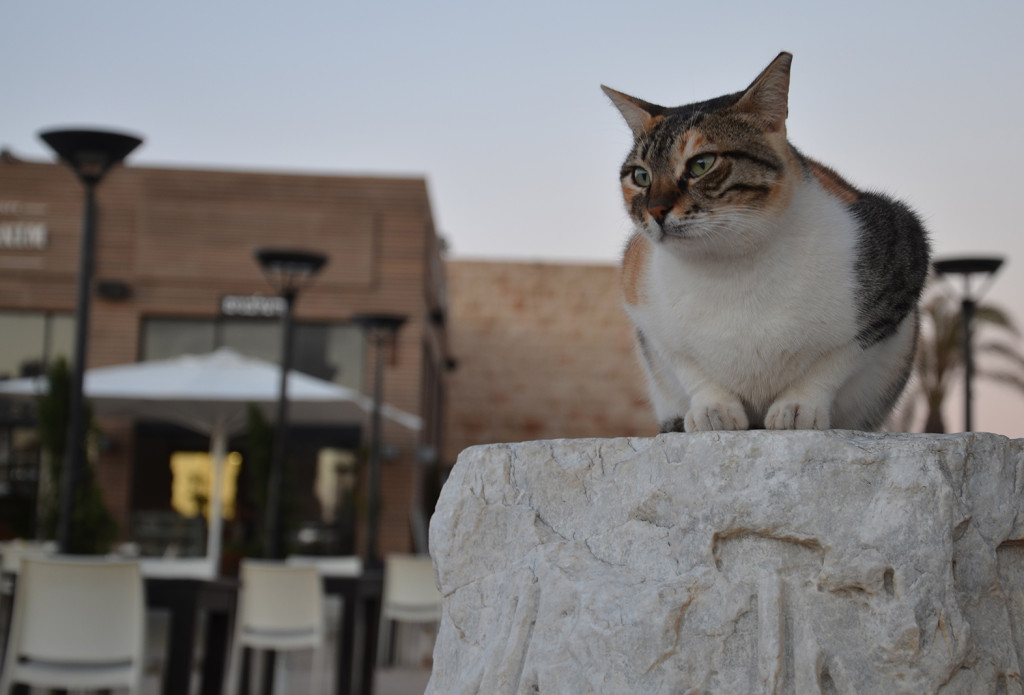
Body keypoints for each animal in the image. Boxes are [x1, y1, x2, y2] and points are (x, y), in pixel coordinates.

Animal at [602, 54, 933, 431]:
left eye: (702, 164)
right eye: (641, 176)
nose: (655, 210)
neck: (730, 268)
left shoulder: (898, 262)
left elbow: (835, 360)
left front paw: (798, 407)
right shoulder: (645, 313)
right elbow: (687, 365)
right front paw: (713, 409)